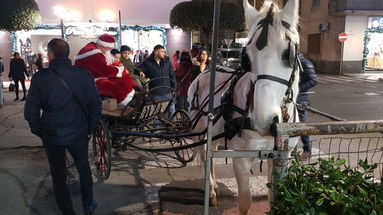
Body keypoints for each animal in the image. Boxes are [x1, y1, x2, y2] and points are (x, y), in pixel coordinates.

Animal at [189, 0, 304, 214]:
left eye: (288, 53)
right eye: (246, 58)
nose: (264, 121)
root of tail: (203, 73)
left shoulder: (282, 157)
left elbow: (275, 198)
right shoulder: (241, 159)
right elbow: (244, 201)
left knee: (212, 151)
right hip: (201, 131)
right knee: (204, 153)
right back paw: (211, 191)